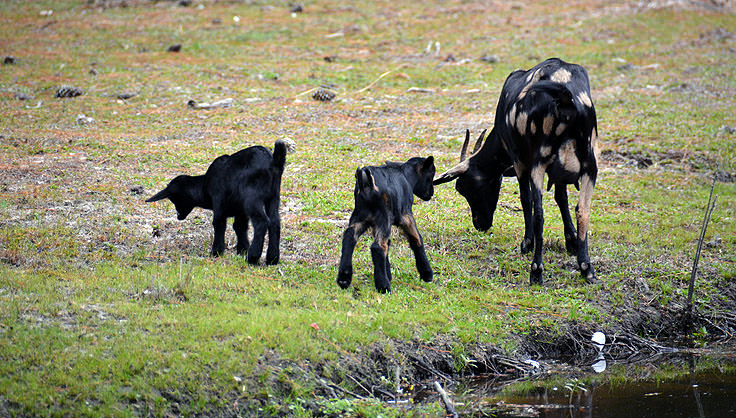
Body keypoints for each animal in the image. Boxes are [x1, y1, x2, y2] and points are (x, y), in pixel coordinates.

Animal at [436, 58, 600, 284]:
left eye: (463, 188)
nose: (480, 224)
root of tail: (565, 100)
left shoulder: (520, 161)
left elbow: (526, 199)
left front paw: (527, 243)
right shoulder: (558, 173)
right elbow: (562, 198)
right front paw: (572, 241)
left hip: (539, 162)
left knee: (539, 212)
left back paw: (536, 270)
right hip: (590, 163)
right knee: (583, 210)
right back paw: (586, 268)